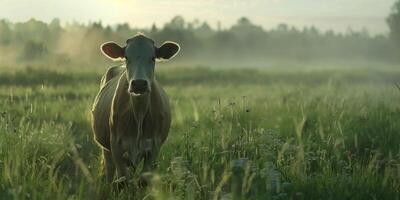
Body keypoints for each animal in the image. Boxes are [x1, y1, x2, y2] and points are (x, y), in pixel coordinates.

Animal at [90, 33, 180, 184]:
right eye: (127, 57)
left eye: (153, 57)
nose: (139, 84)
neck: (139, 114)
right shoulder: (117, 147)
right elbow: (123, 180)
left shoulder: (153, 149)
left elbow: (143, 180)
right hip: (106, 150)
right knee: (109, 172)